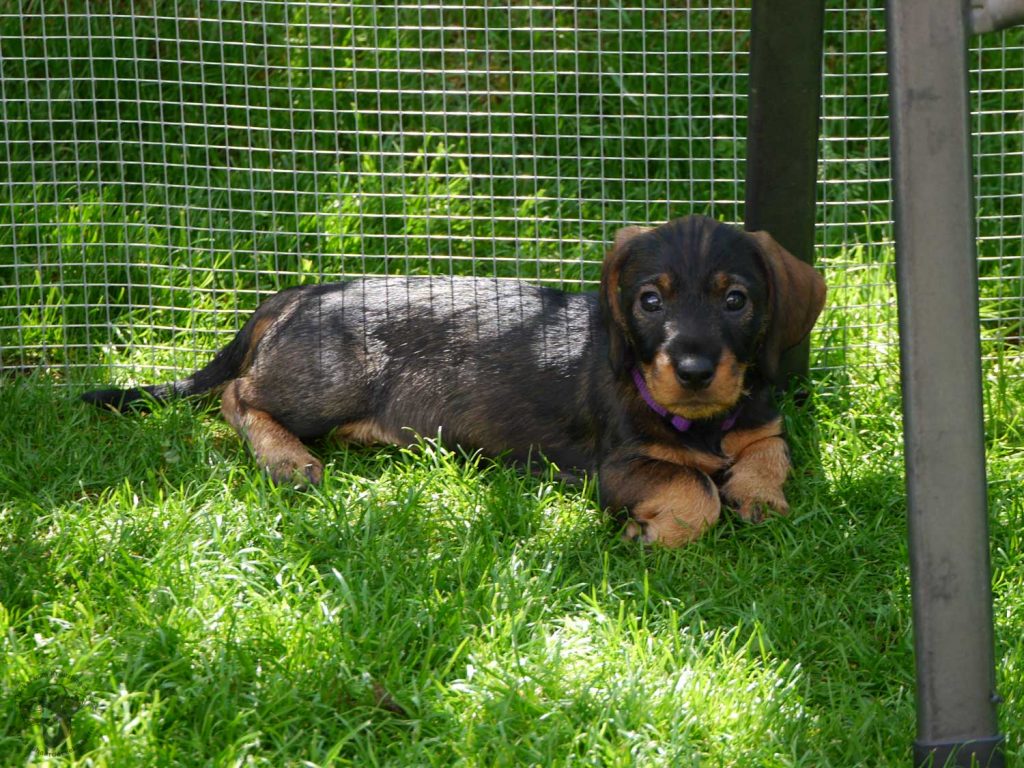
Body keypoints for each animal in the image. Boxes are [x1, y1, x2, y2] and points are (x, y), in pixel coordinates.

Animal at [83, 215, 827, 548]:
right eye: (649, 300)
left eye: (737, 300)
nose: (695, 372)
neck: (705, 423)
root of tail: (304, 292)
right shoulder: (617, 465)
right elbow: (693, 488)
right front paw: (660, 530)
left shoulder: (762, 425)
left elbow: (769, 456)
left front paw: (759, 496)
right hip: (329, 377)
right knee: (238, 397)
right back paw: (290, 459)